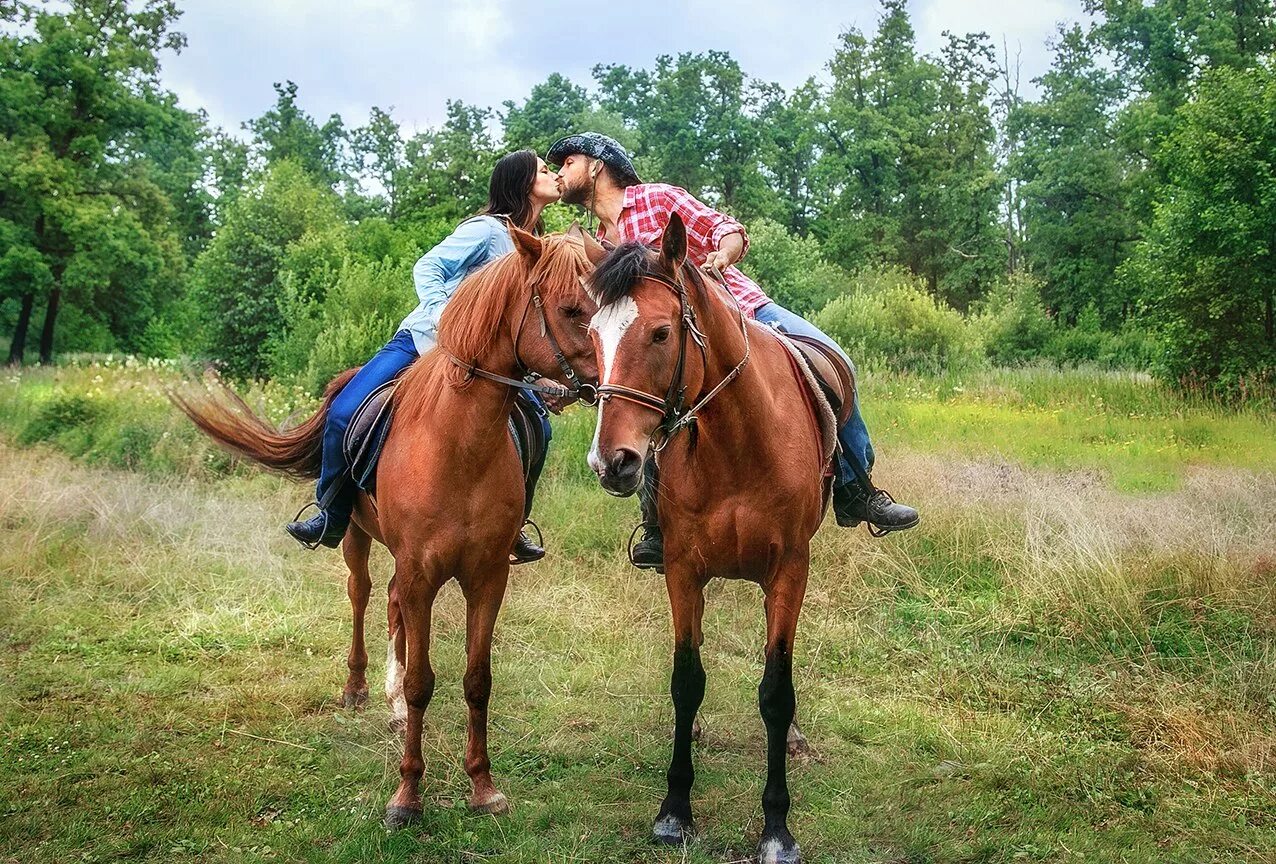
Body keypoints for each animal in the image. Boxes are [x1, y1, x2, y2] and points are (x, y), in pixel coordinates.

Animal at [174, 225, 607, 826]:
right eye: (570, 308)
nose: (620, 380)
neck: (458, 445)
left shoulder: (487, 577)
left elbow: (477, 681)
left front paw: (483, 786)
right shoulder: (422, 572)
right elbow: (425, 682)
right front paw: (406, 796)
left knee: (392, 603)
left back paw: (391, 697)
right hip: (357, 538)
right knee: (361, 594)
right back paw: (357, 688)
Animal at [584, 210, 826, 862]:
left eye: (661, 333)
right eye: (592, 335)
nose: (611, 462)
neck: (738, 439)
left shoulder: (789, 572)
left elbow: (776, 690)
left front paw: (777, 828)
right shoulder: (684, 570)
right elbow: (686, 680)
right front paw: (674, 810)